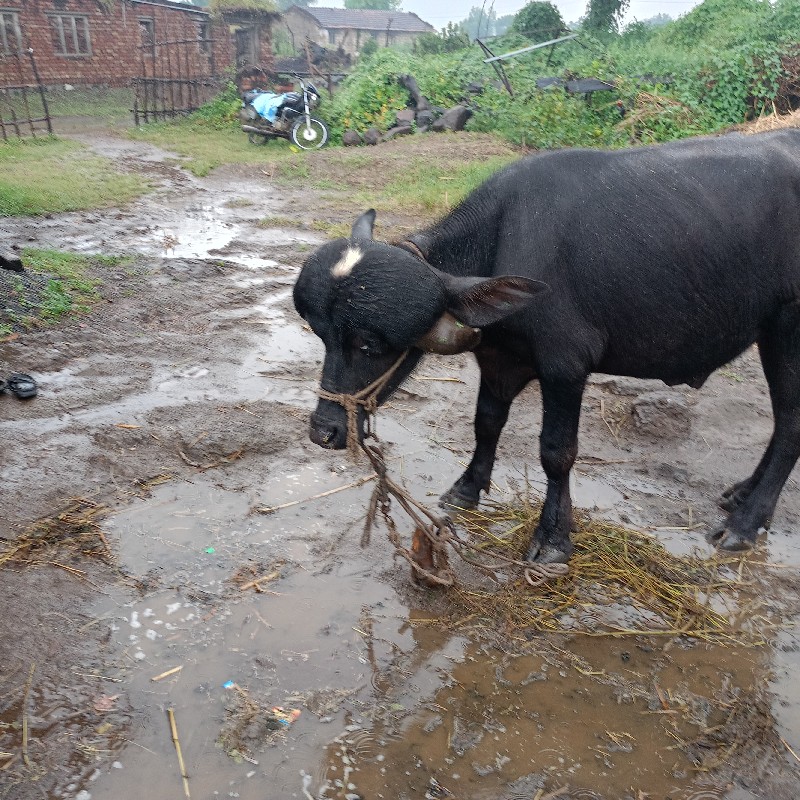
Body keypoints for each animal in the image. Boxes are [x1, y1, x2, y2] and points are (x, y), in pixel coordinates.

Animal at [294, 131, 800, 564]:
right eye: (322, 336)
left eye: (369, 344)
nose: (325, 432)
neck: (504, 239)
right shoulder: (498, 359)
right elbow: (486, 423)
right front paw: (467, 488)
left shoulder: (565, 367)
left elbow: (557, 452)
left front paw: (553, 536)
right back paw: (743, 494)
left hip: (787, 327)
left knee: (790, 424)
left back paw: (745, 523)